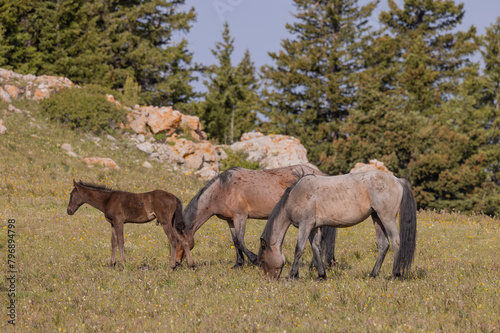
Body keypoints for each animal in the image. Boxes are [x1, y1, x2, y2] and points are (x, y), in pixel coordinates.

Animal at [174, 165, 338, 268]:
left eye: (178, 242)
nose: (176, 263)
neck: (223, 189)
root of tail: (320, 173)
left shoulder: (240, 217)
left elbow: (240, 241)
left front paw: (255, 260)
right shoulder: (230, 221)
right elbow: (235, 241)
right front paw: (238, 264)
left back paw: (313, 266)